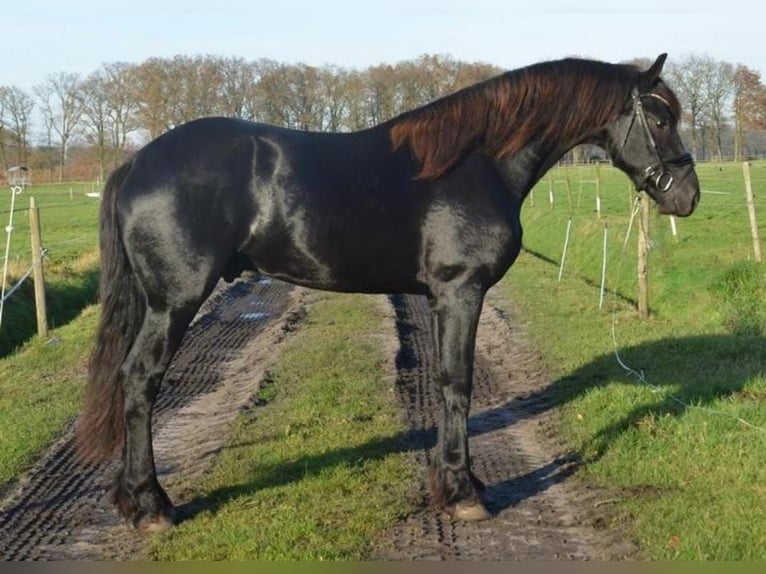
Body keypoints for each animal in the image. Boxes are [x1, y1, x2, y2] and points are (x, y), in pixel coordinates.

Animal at [78, 54, 704, 532]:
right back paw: (152, 506)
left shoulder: (440, 295)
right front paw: (463, 493)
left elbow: (447, 382)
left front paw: (459, 485)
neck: (478, 162)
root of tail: (136, 163)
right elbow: (458, 384)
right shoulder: (460, 291)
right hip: (174, 302)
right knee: (140, 381)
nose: (688, 196)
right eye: (658, 117)